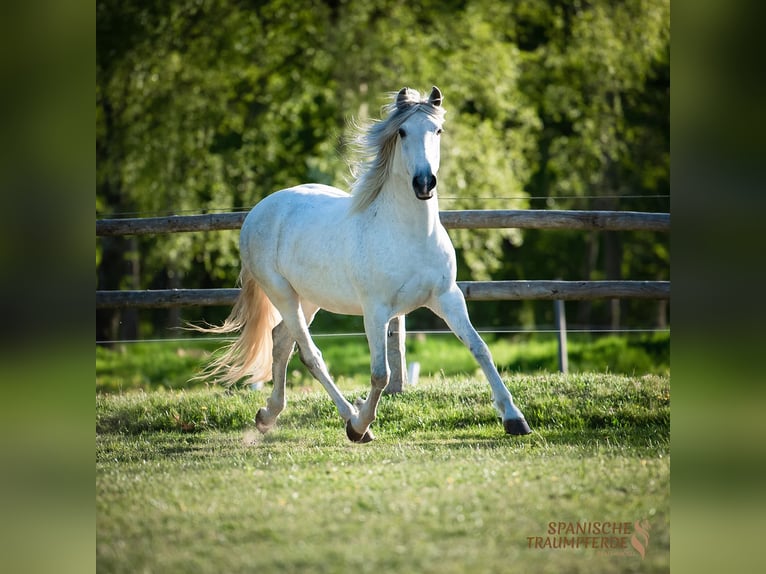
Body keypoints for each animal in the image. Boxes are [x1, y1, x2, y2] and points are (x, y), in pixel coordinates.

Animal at [198, 86, 531, 442]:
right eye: (402, 131)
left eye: (438, 131)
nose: (424, 183)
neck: (409, 235)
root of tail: (260, 209)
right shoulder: (376, 310)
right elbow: (380, 374)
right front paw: (360, 424)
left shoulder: (446, 298)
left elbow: (480, 348)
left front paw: (514, 418)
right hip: (282, 294)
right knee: (310, 354)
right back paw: (351, 420)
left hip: (309, 299)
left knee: (281, 342)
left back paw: (268, 415)